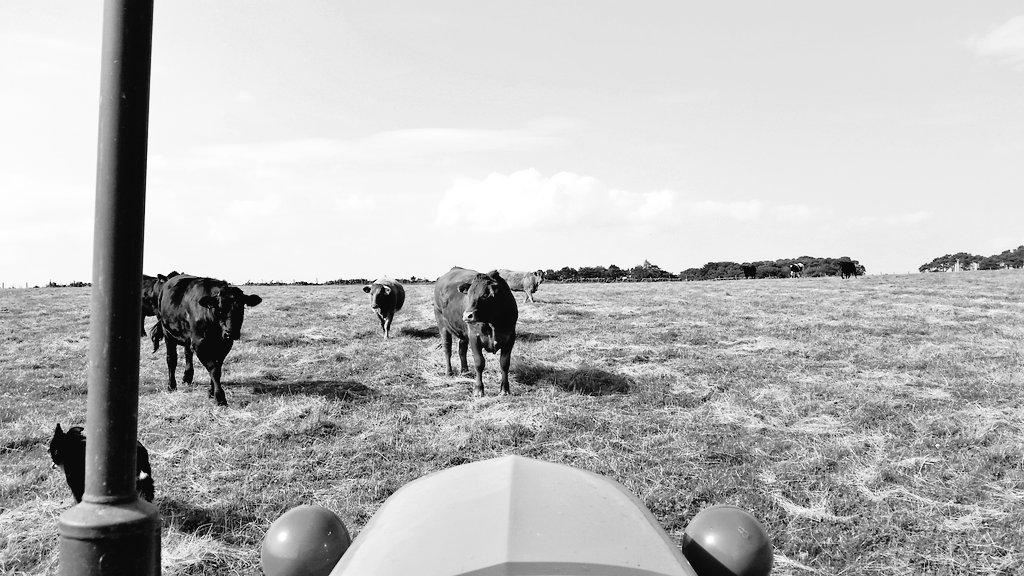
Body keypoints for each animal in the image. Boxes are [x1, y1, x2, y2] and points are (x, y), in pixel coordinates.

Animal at [155, 274, 261, 406]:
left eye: (241, 308)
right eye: (220, 309)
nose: (231, 333)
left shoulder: (224, 344)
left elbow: (218, 368)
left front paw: (211, 391)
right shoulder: (199, 344)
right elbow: (213, 369)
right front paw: (219, 396)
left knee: (187, 353)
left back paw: (187, 377)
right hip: (167, 333)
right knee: (171, 359)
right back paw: (171, 386)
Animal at [434, 267, 518, 396]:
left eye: (485, 295)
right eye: (468, 294)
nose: (467, 316)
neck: (492, 321)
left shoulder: (510, 338)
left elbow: (504, 363)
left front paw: (505, 389)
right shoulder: (474, 338)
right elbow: (479, 363)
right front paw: (478, 389)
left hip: (463, 332)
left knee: (462, 349)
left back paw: (464, 371)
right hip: (442, 325)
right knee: (447, 349)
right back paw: (449, 372)